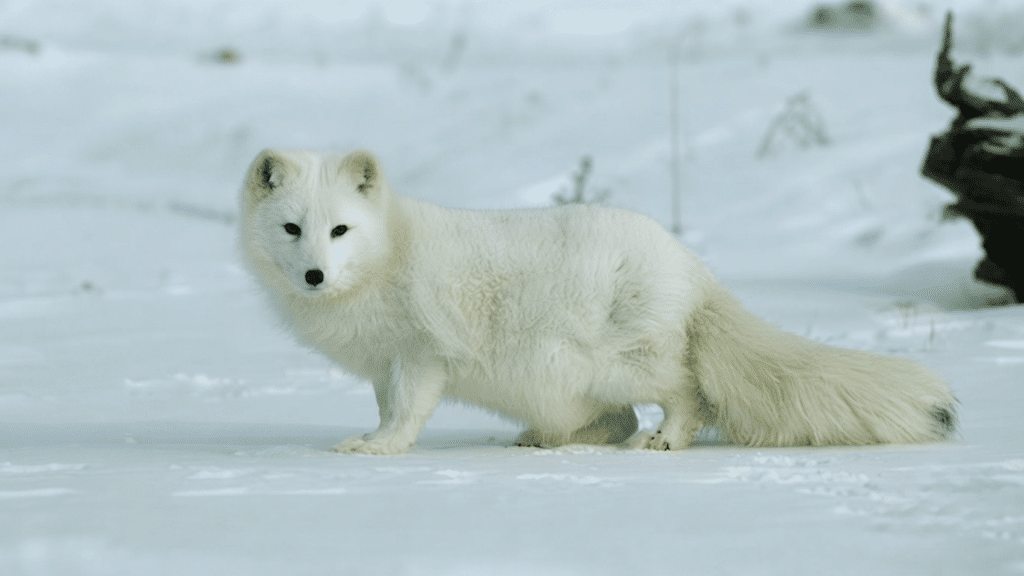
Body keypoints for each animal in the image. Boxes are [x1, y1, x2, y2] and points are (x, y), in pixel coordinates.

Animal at [237, 148, 958, 455]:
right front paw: (374, 438)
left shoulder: (421, 355)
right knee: (617, 419)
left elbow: (407, 413)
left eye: (340, 230)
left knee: (684, 394)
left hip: (615, 361)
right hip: (564, 377)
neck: (389, 254)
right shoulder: (387, 363)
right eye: (293, 229)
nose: (314, 276)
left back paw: (666, 440)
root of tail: (691, 267)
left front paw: (380, 450)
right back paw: (550, 441)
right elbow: (387, 407)